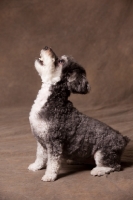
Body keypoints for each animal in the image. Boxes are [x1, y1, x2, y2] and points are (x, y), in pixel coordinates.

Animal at [28, 46, 130, 181]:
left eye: (60, 61)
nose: (46, 47)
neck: (51, 101)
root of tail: (123, 140)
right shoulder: (41, 140)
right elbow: (39, 155)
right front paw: (36, 166)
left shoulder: (54, 142)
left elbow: (53, 162)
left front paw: (49, 175)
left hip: (103, 153)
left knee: (115, 166)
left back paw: (98, 170)